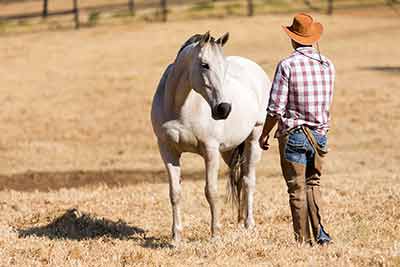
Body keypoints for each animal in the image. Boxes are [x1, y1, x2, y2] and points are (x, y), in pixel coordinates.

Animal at [152, 31, 270, 243]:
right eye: (204, 64)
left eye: (225, 66)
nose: (224, 109)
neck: (180, 108)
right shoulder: (167, 151)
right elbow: (175, 193)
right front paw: (176, 237)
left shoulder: (210, 152)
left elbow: (211, 192)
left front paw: (215, 234)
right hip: (229, 151)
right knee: (239, 181)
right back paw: (240, 220)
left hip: (254, 140)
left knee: (248, 181)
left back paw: (249, 224)